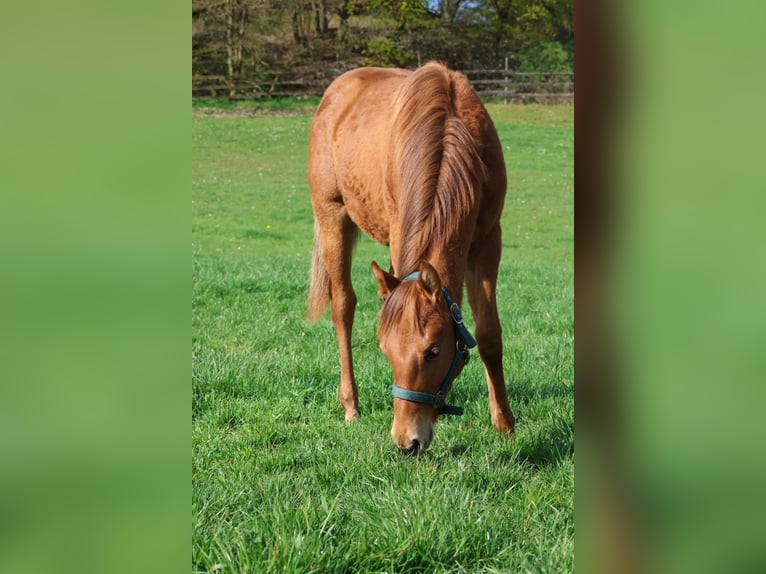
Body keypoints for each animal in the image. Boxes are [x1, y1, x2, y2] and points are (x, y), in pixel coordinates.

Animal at [307, 62, 515, 455]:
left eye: (433, 351)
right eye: (385, 351)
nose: (407, 442)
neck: (450, 132)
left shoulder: (487, 240)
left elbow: (489, 335)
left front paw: (505, 424)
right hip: (332, 217)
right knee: (343, 306)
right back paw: (351, 406)